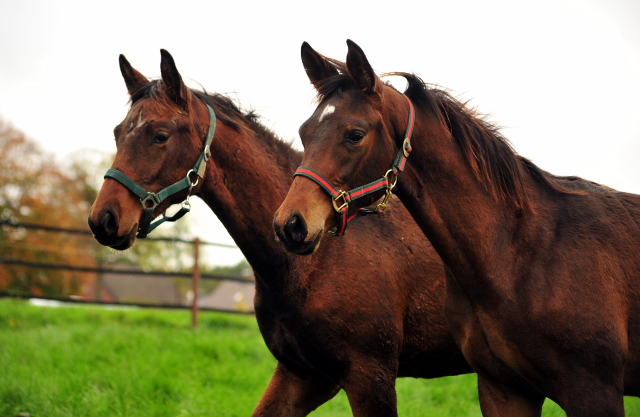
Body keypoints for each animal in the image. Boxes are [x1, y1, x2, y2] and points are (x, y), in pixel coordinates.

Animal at [87, 50, 470, 414]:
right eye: (117, 133)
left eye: (160, 136)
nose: (103, 219)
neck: (315, 263)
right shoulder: (303, 376)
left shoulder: (369, 377)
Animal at [276, 39, 640, 416]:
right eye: (304, 132)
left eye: (355, 135)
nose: (291, 224)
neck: (522, 256)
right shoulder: (505, 389)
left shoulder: (594, 393)